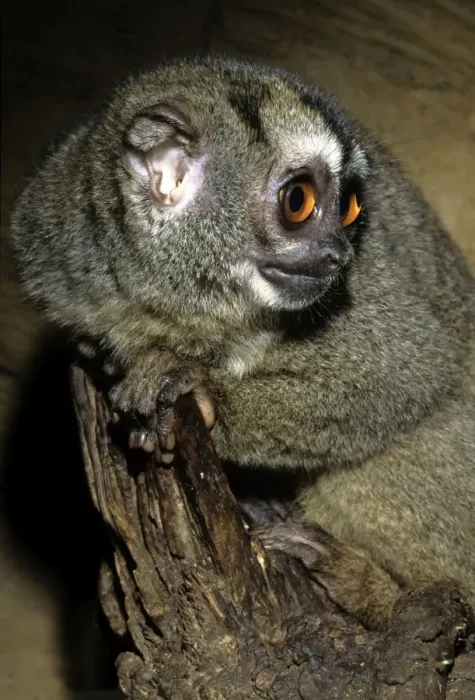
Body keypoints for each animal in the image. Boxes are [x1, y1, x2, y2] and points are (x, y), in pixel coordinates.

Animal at [8, 54, 475, 631]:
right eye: (299, 201)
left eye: (350, 210)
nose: (340, 254)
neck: (190, 302)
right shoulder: (54, 246)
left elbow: (408, 371)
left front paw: (199, 391)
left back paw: (375, 595)